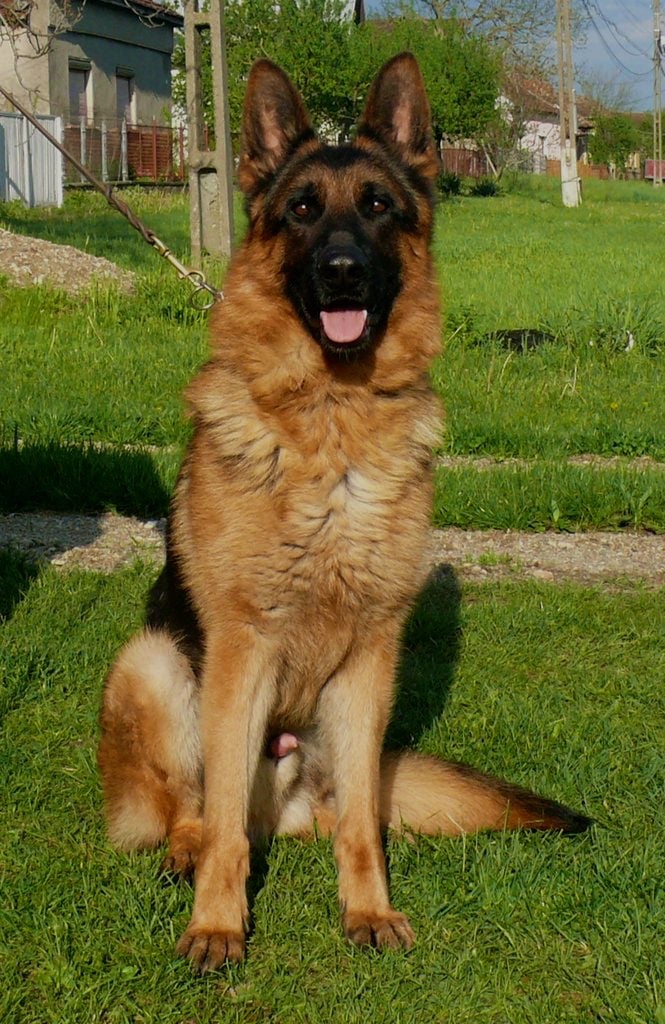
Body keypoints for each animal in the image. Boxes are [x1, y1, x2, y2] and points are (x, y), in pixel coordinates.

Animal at [97, 51, 586, 970]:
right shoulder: (242, 648)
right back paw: (185, 849)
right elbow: (222, 826)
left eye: (377, 208)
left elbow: (364, 820)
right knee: (193, 809)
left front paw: (367, 908)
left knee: (327, 814)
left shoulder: (369, 662)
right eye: (301, 210)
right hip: (154, 663)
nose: (342, 273)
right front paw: (218, 925)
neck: (332, 416)